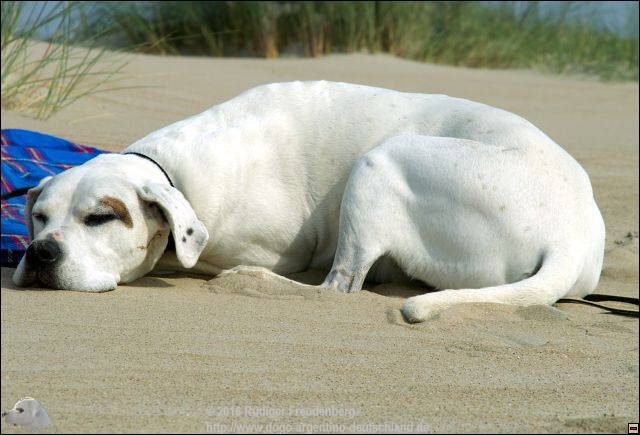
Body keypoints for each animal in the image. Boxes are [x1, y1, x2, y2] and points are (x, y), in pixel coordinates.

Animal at [15, 81, 604, 324]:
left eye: (100, 218)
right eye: (38, 218)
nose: (40, 253)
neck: (170, 170)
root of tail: (568, 236)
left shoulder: (278, 248)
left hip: (379, 162)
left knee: (338, 287)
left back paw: (253, 283)